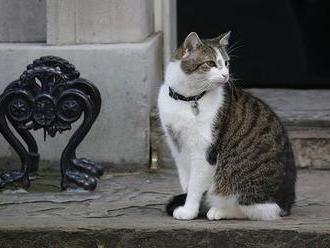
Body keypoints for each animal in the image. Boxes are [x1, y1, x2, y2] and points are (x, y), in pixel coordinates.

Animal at [157, 31, 296, 221]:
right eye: (210, 63)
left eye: (226, 63)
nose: (225, 75)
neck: (187, 99)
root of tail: (286, 204)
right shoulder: (176, 146)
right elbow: (186, 182)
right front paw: (188, 205)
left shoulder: (205, 152)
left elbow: (195, 186)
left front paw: (188, 211)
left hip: (242, 183)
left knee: (258, 210)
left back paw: (218, 211)